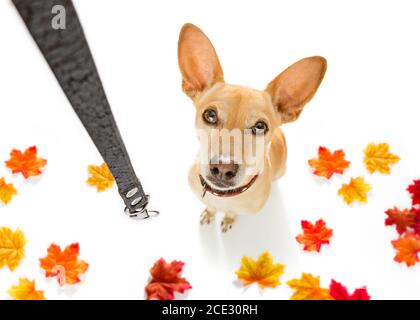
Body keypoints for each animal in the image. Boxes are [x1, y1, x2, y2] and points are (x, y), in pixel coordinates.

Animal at [177, 23, 328, 231]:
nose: (223, 168)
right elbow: (210, 206)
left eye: (260, 126)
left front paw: (228, 219)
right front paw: (209, 212)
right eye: (210, 115)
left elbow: (232, 213)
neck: (222, 198)